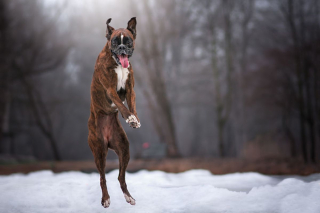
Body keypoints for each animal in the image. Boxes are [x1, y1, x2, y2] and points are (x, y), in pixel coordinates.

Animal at [89, 17, 141, 207]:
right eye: (114, 42)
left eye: (128, 41)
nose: (122, 48)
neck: (118, 64)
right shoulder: (111, 90)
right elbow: (122, 105)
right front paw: (130, 118)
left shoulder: (130, 89)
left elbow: (132, 105)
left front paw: (135, 119)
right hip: (99, 152)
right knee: (102, 178)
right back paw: (105, 199)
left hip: (124, 148)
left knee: (120, 177)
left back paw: (128, 197)